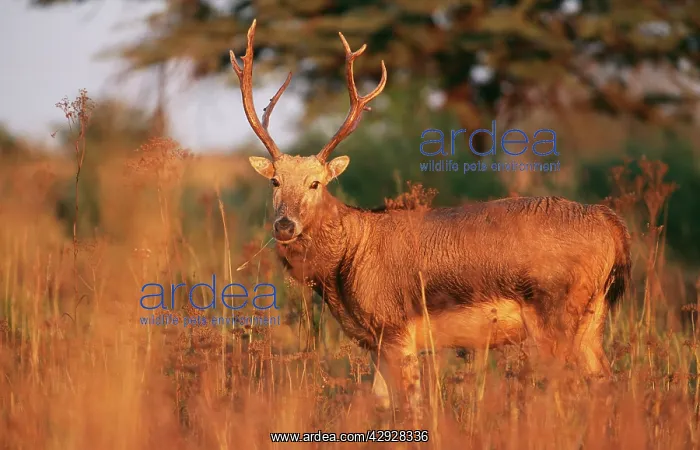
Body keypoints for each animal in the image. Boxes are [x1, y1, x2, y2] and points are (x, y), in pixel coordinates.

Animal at [229, 19, 632, 418]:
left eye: (316, 183)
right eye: (275, 181)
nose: (285, 225)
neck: (346, 262)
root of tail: (609, 222)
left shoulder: (395, 327)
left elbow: (411, 406)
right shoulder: (375, 341)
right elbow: (379, 403)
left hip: (555, 310)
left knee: (571, 389)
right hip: (593, 314)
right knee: (604, 383)